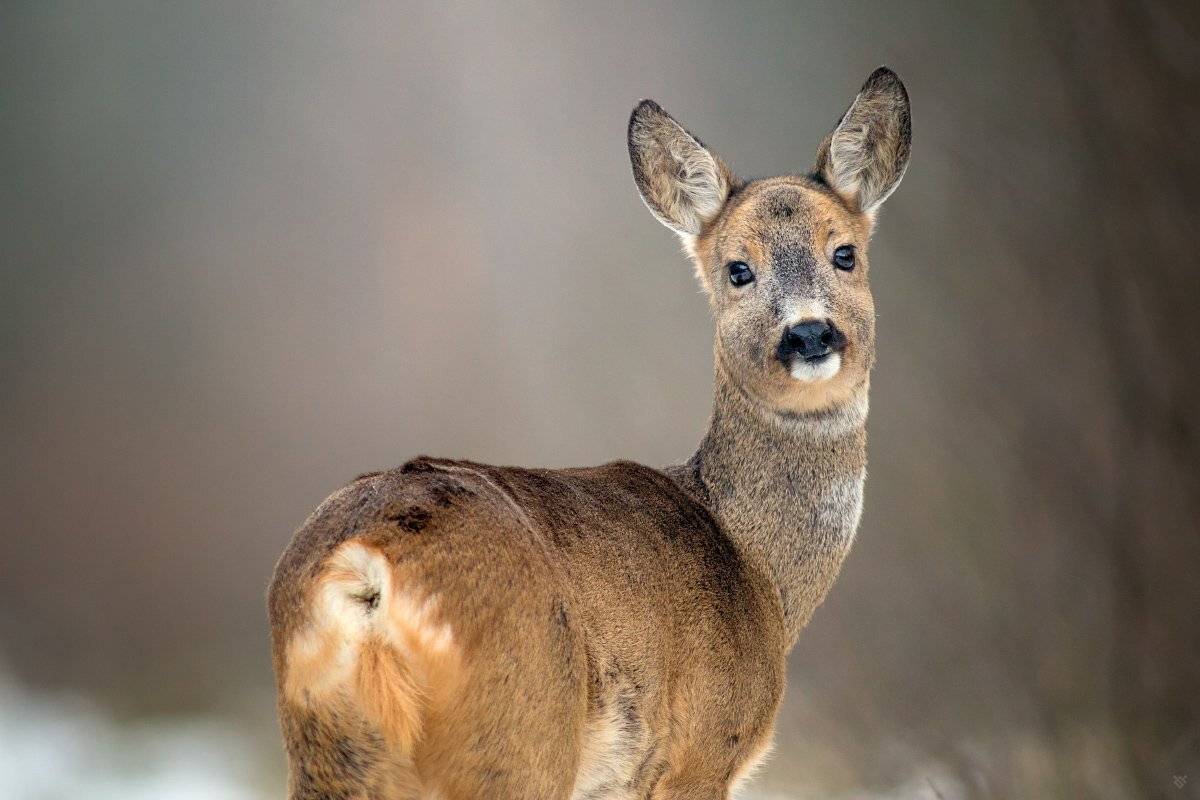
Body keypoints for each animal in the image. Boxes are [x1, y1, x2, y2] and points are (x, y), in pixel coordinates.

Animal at [268, 67, 911, 800]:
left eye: (845, 254)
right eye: (737, 269)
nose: (808, 334)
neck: (757, 567)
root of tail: (361, 570)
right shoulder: (698, 753)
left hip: (334, 749)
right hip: (520, 727)